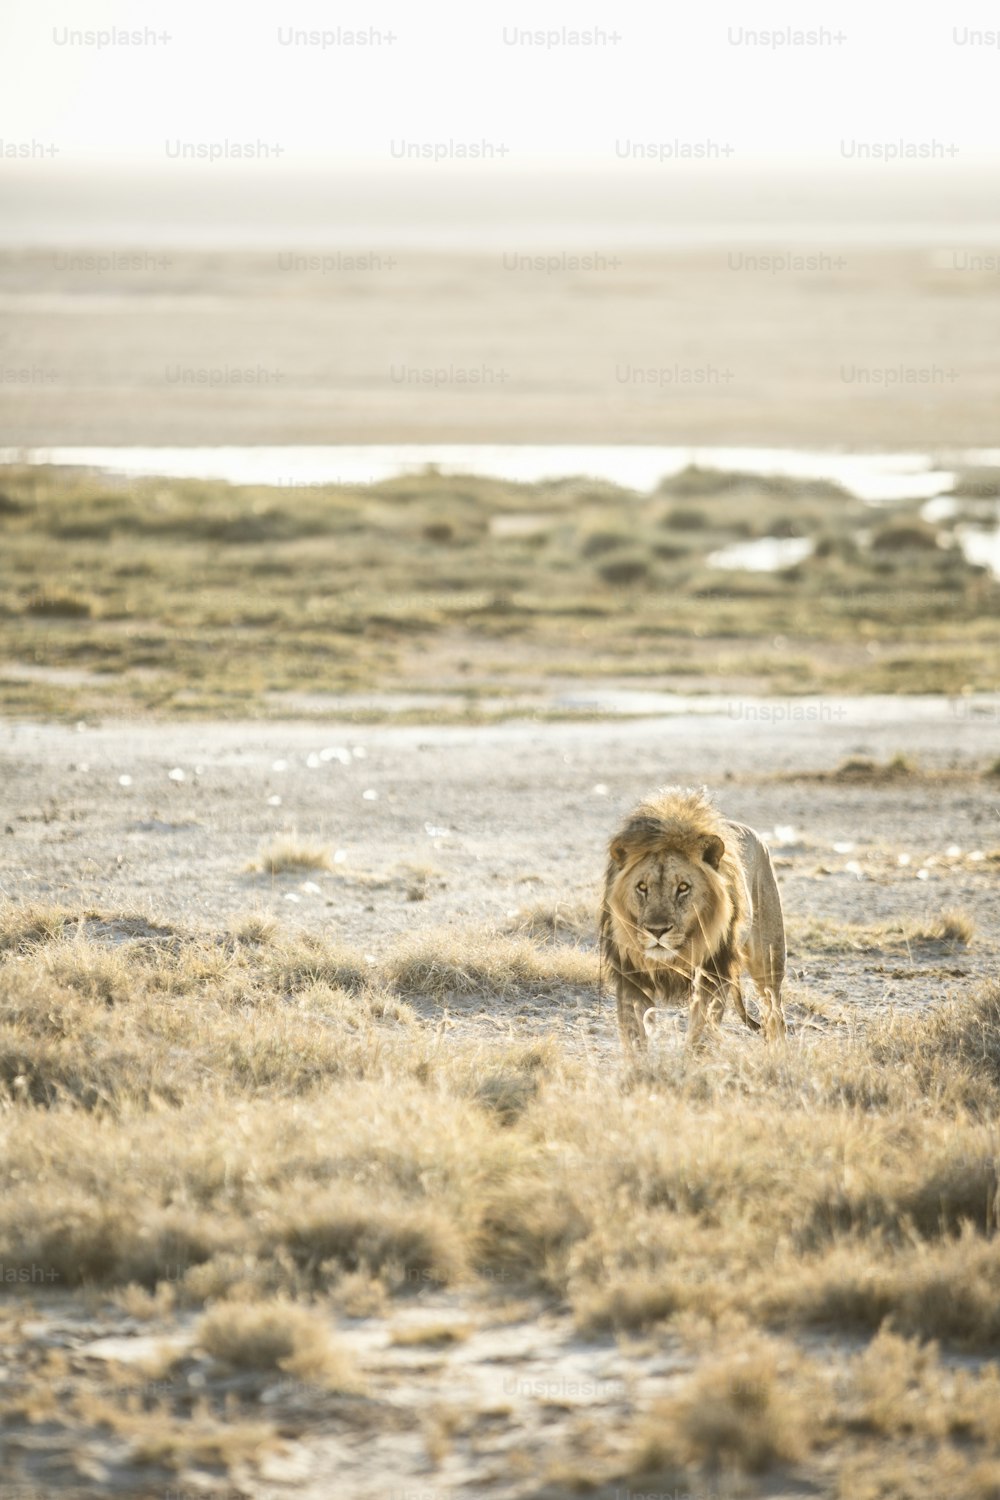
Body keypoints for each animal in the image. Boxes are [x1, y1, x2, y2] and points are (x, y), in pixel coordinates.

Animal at [599, 786, 785, 1056]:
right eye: (642, 887)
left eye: (683, 888)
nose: (657, 931)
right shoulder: (631, 975)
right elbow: (635, 1034)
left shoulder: (714, 971)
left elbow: (701, 1031)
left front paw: (691, 1061)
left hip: (769, 958)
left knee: (774, 1009)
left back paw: (778, 1050)